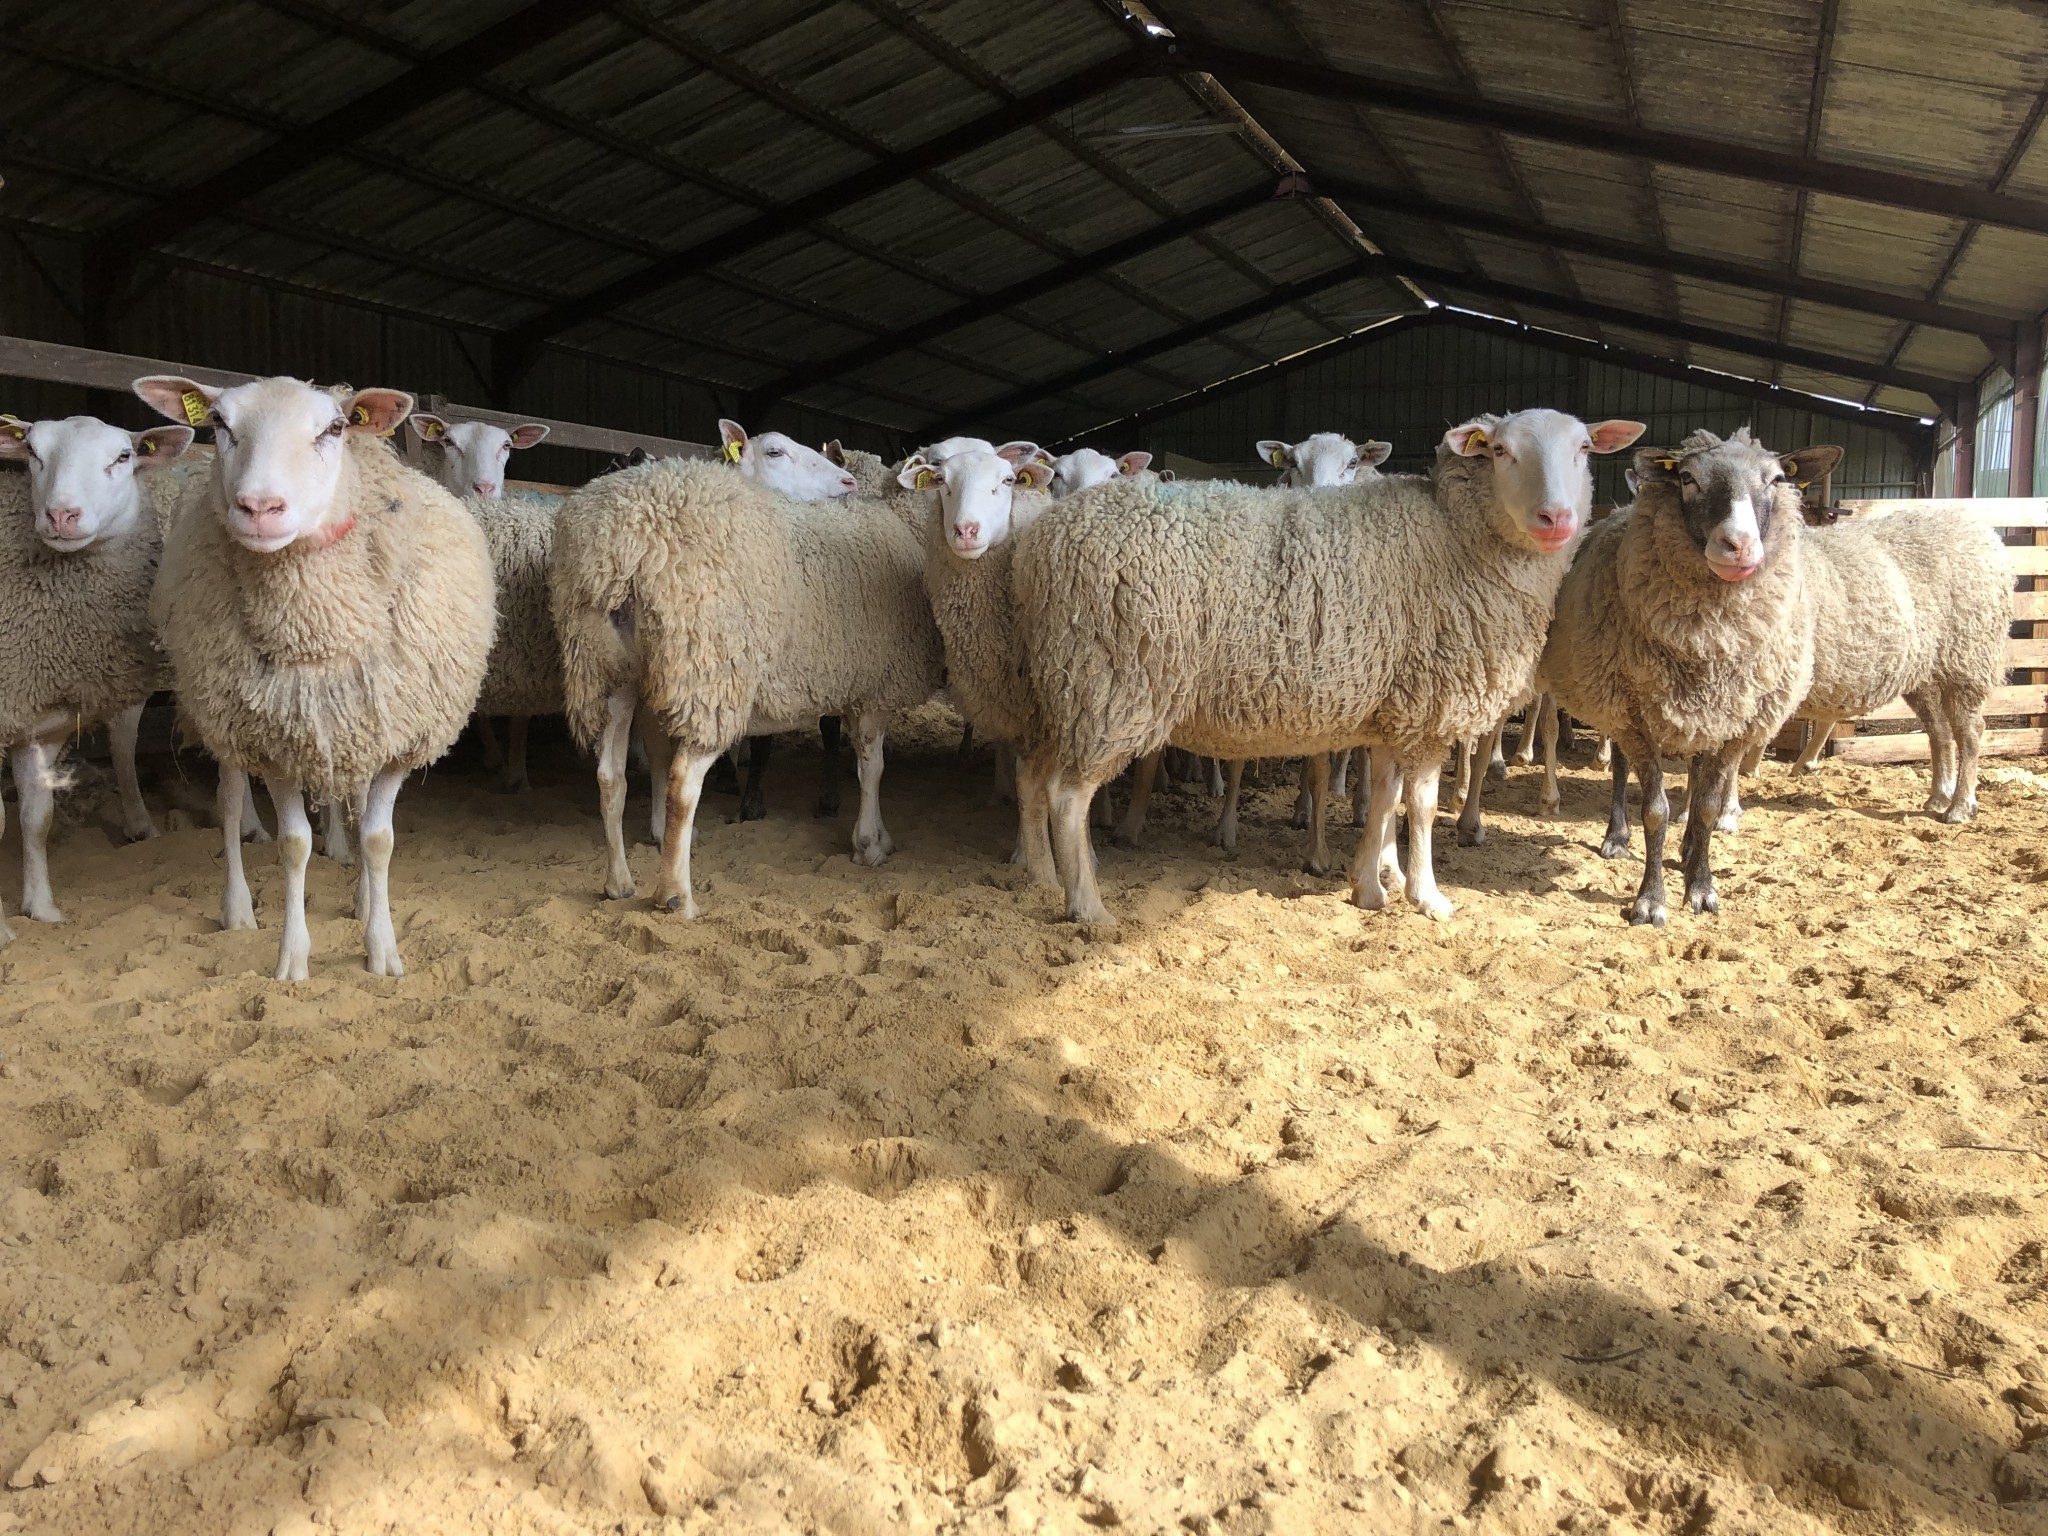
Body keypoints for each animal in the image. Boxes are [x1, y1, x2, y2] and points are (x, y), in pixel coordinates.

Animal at [136, 374, 495, 978]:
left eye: (334, 427)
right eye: (219, 424)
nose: (259, 506)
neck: (317, 629)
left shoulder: (394, 732)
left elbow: (378, 839)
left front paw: (381, 944)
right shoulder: (275, 738)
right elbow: (293, 845)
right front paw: (293, 958)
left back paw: (361, 897)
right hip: (224, 712)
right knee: (229, 800)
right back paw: (236, 907)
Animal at [548, 454, 937, 913]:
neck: (901, 524)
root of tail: (618, 548)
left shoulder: (857, 686)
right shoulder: (876, 687)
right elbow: (872, 768)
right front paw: (870, 842)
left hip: (606, 669)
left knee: (610, 776)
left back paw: (618, 882)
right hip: (710, 672)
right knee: (682, 783)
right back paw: (676, 895)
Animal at [1015, 403, 1638, 925]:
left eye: (1584, 448)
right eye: (1502, 450)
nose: (1557, 518)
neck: (1455, 536)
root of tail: (1042, 540)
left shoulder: (1395, 705)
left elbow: (1384, 798)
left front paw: (1371, 885)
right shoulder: (1427, 704)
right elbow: (1422, 804)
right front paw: (1427, 895)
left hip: (1064, 685)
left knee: (1033, 776)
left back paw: (1041, 878)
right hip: (1111, 684)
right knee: (1068, 796)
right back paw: (1088, 906)